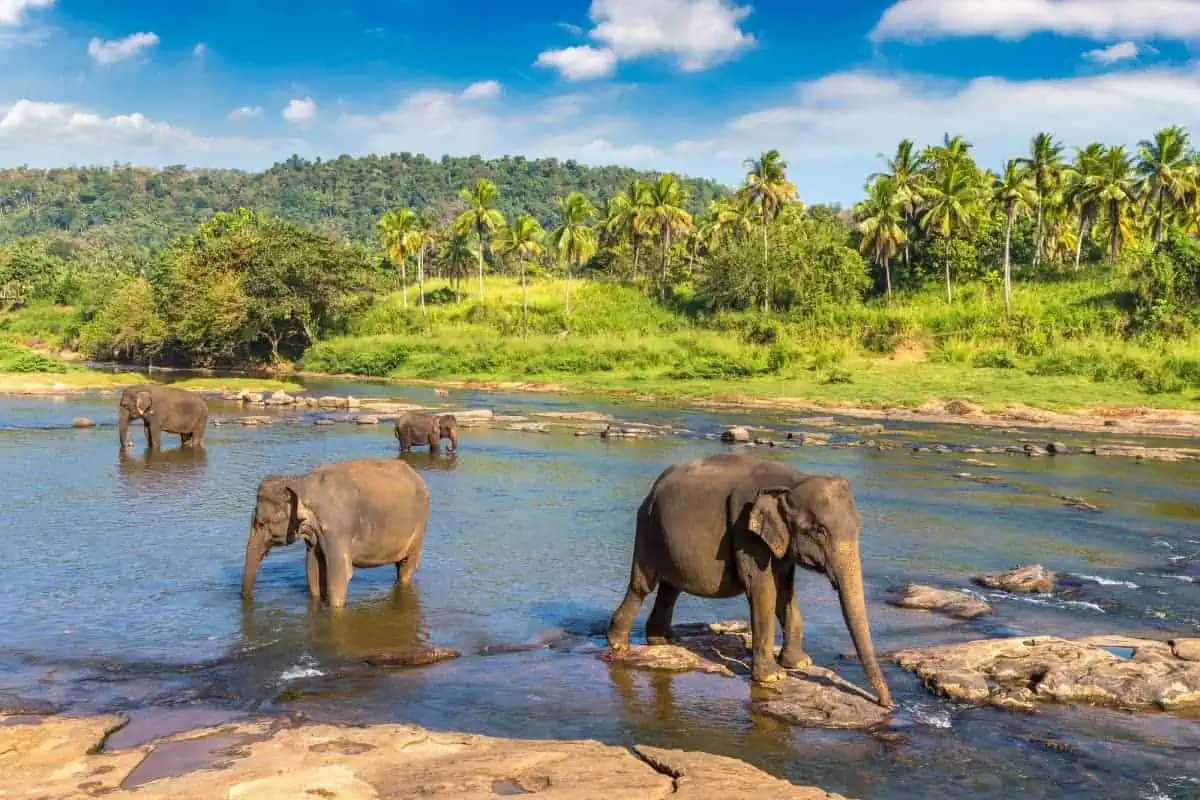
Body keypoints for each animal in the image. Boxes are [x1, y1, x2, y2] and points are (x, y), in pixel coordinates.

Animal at [240, 458, 431, 609]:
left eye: (262, 523)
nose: (246, 598)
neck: (301, 482)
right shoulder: (315, 535)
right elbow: (313, 569)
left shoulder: (337, 528)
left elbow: (339, 575)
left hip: (419, 527)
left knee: (406, 567)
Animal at [606, 453, 893, 708]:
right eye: (820, 531)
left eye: (859, 526)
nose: (886, 704)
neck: (795, 480)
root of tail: (654, 487)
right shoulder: (745, 532)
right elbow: (763, 589)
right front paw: (773, 676)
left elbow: (785, 591)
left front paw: (800, 663)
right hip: (648, 526)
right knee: (643, 585)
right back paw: (619, 643)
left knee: (670, 588)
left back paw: (664, 640)